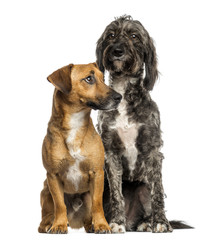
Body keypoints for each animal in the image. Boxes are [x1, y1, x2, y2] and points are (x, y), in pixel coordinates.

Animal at [38, 62, 121, 233]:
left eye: (103, 79)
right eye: (89, 79)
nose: (119, 97)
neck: (75, 123)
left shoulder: (97, 173)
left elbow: (97, 204)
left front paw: (102, 225)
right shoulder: (53, 175)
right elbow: (59, 205)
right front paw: (59, 225)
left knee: (89, 215)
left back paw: (91, 225)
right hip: (45, 191)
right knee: (46, 217)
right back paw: (49, 224)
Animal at [96, 15, 192, 232]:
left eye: (134, 36)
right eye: (111, 35)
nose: (117, 50)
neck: (124, 94)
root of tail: (133, 220)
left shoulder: (152, 148)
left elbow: (157, 192)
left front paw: (161, 222)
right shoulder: (110, 152)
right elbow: (117, 195)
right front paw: (116, 222)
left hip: (142, 187)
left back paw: (147, 223)